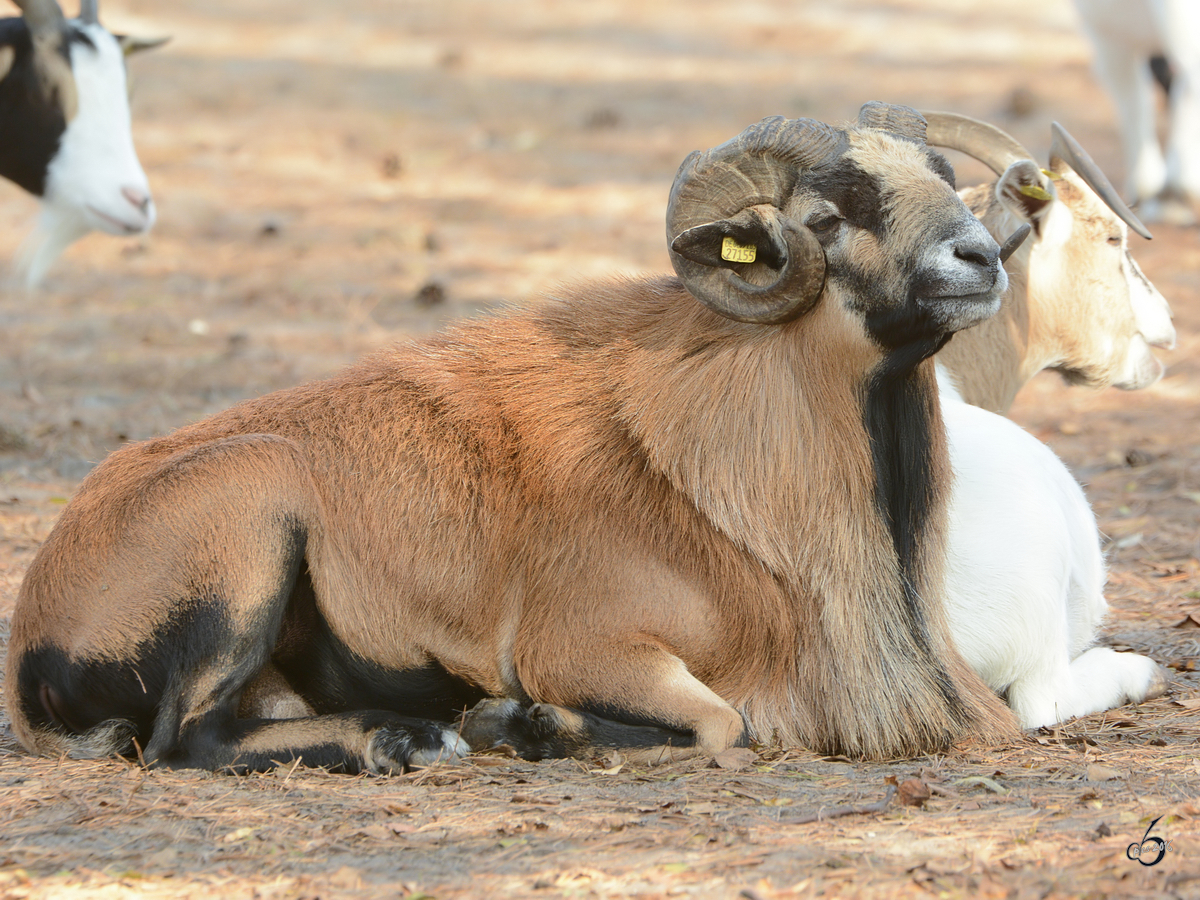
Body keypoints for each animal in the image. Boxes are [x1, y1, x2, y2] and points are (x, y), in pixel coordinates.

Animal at [7, 102, 1022, 772]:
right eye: (827, 217)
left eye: (947, 185)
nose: (977, 258)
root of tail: (35, 637)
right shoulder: (587, 648)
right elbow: (719, 724)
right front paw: (515, 724)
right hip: (251, 520)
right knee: (186, 740)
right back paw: (406, 737)